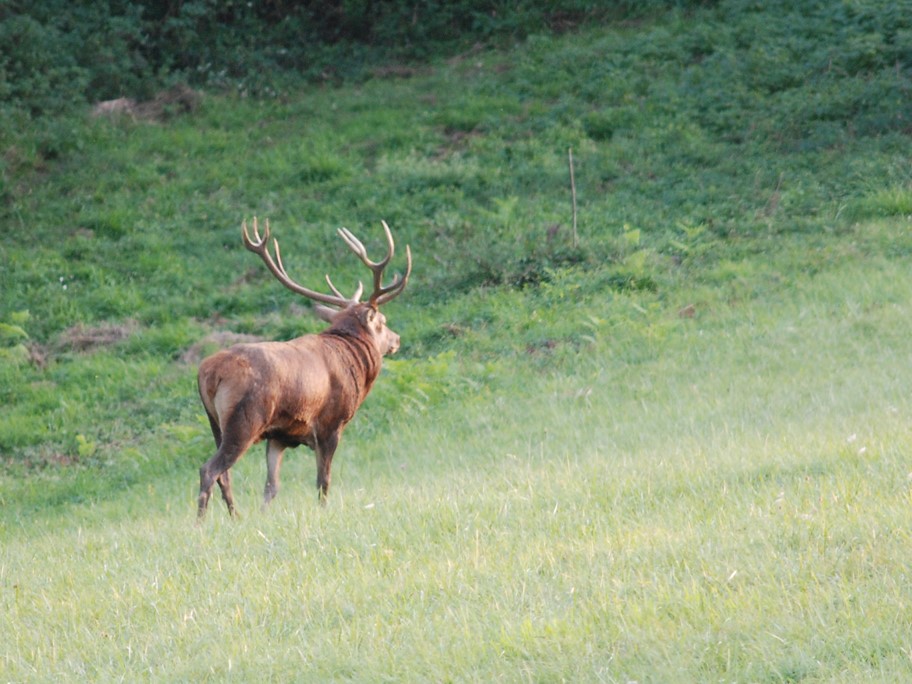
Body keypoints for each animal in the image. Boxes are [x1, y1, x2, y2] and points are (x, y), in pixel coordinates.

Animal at [196, 217, 412, 519]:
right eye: (382, 322)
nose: (397, 339)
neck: (354, 358)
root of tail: (207, 373)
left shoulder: (278, 436)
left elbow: (271, 487)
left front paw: (263, 517)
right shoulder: (330, 425)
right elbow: (323, 481)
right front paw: (323, 511)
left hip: (215, 422)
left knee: (223, 474)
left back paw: (236, 518)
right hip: (244, 420)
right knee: (210, 469)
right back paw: (202, 522)